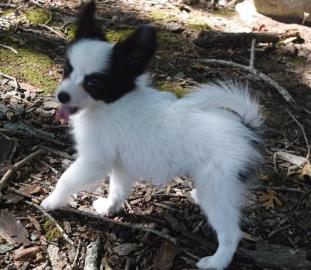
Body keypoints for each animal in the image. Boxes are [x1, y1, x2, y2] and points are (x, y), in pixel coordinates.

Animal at [41, 1, 264, 268]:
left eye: (93, 83)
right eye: (67, 70)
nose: (62, 96)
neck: (109, 104)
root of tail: (244, 127)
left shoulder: (95, 160)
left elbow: (66, 179)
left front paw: (51, 201)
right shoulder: (121, 165)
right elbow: (117, 189)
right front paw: (109, 207)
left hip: (217, 185)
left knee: (231, 233)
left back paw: (216, 262)